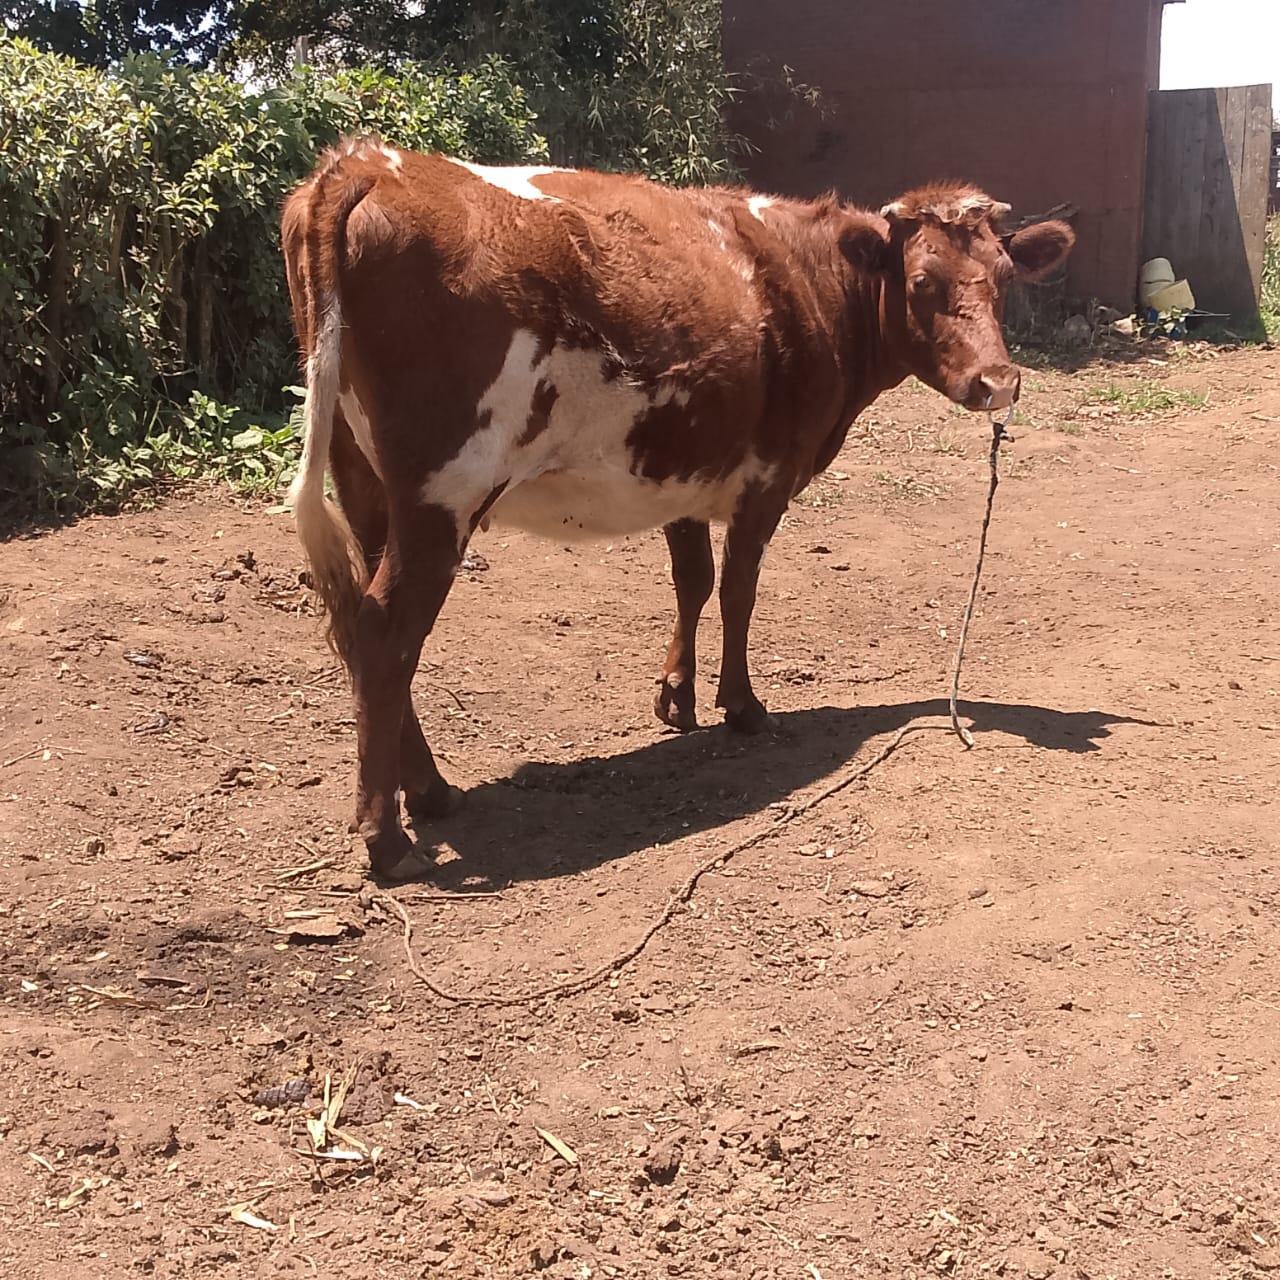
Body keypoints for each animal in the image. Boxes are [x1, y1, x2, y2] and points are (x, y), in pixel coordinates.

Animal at [281, 138, 1073, 880]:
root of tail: (370, 163)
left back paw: (430, 792)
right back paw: (387, 838)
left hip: (366, 482)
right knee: (388, 633)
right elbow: (738, 590)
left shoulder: (686, 468)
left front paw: (677, 697)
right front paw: (742, 706)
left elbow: (692, 580)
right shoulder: (766, 475)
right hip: (443, 494)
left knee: (371, 628)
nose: (998, 382)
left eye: (1006, 279)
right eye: (921, 282)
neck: (807, 281)